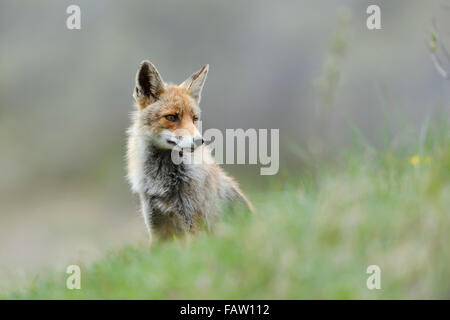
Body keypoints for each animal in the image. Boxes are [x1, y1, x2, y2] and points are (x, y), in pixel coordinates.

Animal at [126, 60, 253, 241]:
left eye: (195, 119)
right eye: (171, 117)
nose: (200, 141)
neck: (163, 182)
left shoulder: (194, 222)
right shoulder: (156, 225)